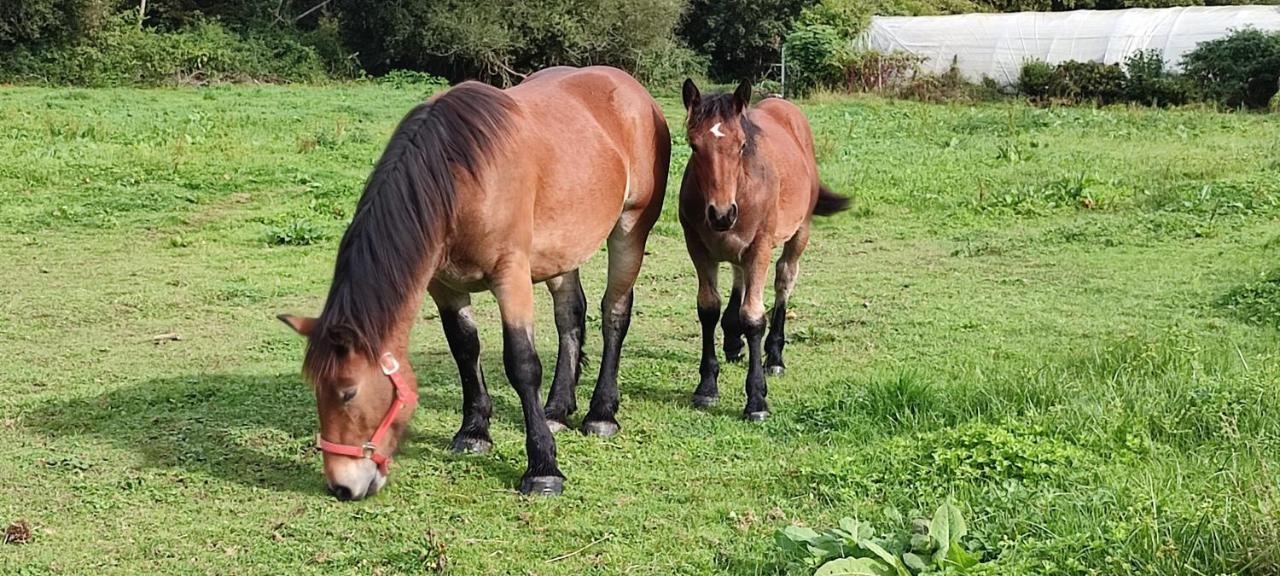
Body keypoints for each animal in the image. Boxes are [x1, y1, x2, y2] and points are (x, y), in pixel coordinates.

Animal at [277, 66, 670, 499]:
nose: (343, 485)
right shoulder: (444, 285)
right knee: (571, 315)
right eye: (315, 390)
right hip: (562, 249)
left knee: (614, 313)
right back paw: (556, 409)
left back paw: (601, 414)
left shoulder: (511, 276)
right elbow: (465, 350)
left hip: (630, 230)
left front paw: (543, 468)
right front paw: (474, 432)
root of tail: (632, 89)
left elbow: (522, 364)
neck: (460, 176)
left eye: (348, 392)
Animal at [680, 78, 849, 419]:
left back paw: (774, 356)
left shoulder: (760, 246)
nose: (721, 214)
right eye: (694, 146)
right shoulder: (697, 246)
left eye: (742, 145)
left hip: (799, 232)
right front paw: (707, 386)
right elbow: (708, 308)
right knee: (739, 276)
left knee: (784, 279)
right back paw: (733, 341)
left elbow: (754, 317)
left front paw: (757, 399)